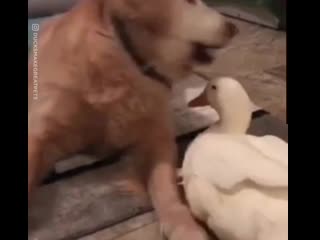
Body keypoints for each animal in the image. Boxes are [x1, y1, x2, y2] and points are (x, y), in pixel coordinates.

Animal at [28, 0, 238, 238]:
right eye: (190, 1)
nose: (233, 27)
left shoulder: (157, 137)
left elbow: (166, 188)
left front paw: (184, 227)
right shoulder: (42, 132)